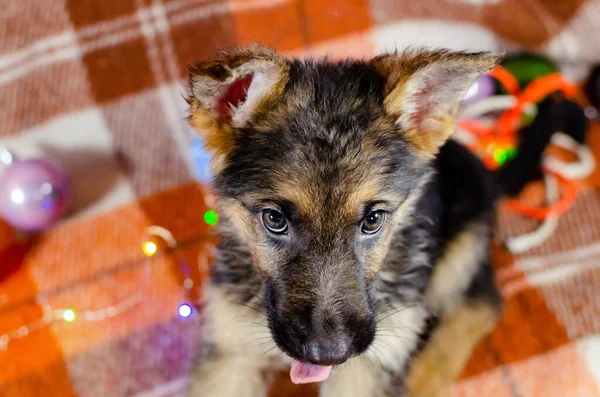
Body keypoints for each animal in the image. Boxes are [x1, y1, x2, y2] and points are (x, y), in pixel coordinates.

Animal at [188, 45, 548, 396]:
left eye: (373, 220)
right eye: (274, 219)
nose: (329, 354)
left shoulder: (369, 367)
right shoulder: (230, 350)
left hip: (460, 250)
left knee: (482, 304)